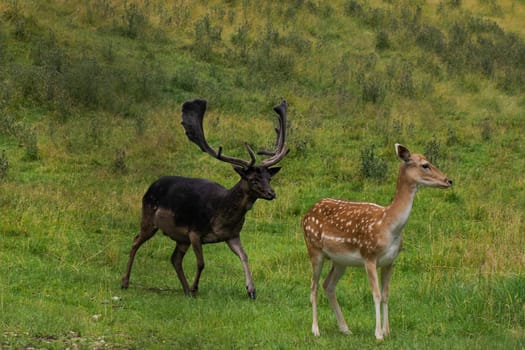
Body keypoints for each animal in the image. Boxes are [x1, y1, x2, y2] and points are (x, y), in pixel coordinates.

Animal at [121, 98, 288, 298]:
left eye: (269, 178)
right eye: (253, 179)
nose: (272, 193)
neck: (221, 217)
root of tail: (150, 186)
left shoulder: (232, 235)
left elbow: (245, 256)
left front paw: (251, 290)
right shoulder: (194, 232)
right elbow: (201, 263)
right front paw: (195, 287)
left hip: (180, 238)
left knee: (174, 258)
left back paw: (185, 290)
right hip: (149, 218)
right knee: (136, 241)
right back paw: (125, 282)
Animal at [302, 144, 450, 340]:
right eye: (425, 165)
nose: (448, 180)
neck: (388, 226)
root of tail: (305, 215)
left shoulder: (390, 261)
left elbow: (386, 294)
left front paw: (387, 331)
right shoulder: (369, 256)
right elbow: (376, 294)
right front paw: (378, 334)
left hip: (340, 261)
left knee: (328, 285)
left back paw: (345, 328)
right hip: (314, 249)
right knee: (313, 287)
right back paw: (316, 330)